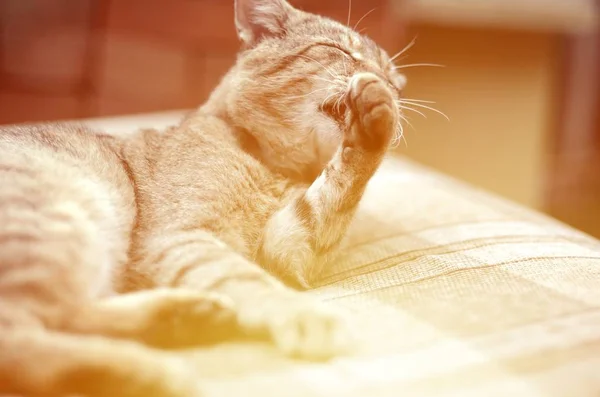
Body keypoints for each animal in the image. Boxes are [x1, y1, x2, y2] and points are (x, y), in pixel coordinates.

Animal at [1, 0, 408, 394]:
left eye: (394, 79)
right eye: (338, 49)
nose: (387, 84)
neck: (274, 170)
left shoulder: (287, 244)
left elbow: (338, 188)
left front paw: (379, 120)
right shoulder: (183, 237)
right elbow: (248, 279)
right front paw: (304, 314)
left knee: (62, 319)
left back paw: (182, 319)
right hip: (58, 223)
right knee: (22, 341)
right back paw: (149, 370)